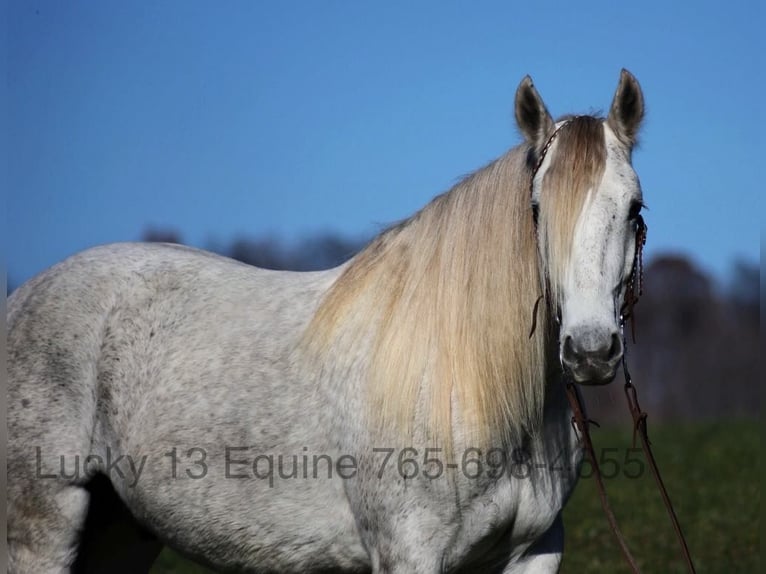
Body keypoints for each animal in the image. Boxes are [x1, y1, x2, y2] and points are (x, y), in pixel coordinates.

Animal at [7, 70, 648, 572]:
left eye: (634, 208)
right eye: (537, 209)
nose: (591, 351)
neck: (464, 383)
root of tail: (21, 300)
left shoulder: (534, 553)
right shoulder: (409, 555)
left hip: (119, 532)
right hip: (43, 524)